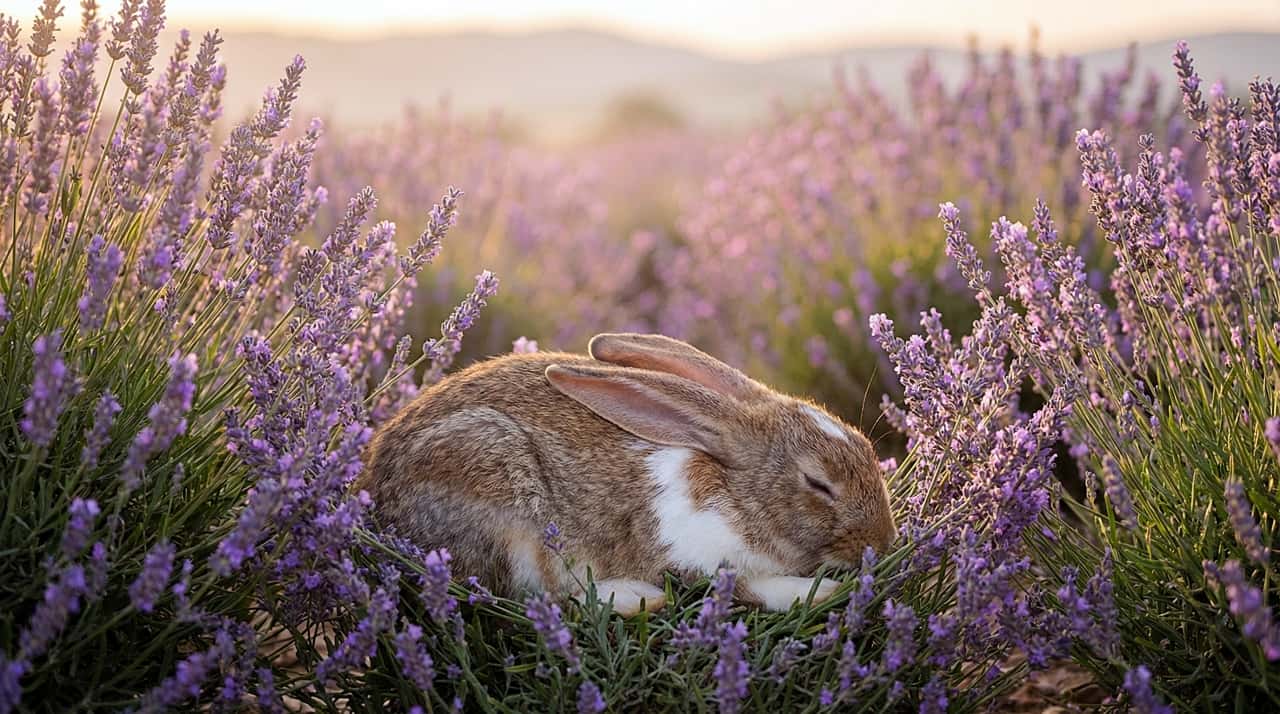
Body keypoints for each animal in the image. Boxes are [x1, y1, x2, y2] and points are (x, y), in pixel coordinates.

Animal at [357, 333, 896, 616]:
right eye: (818, 483)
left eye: (868, 449)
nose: (883, 542)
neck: (736, 495)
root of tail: (376, 504)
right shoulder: (691, 559)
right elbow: (744, 586)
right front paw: (819, 592)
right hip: (497, 490)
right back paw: (639, 599)